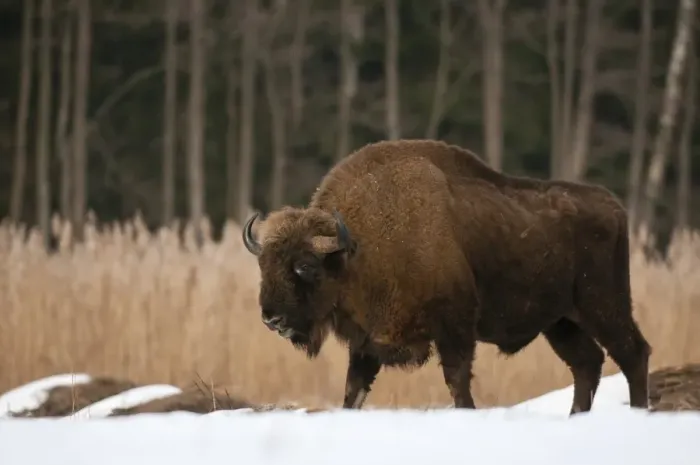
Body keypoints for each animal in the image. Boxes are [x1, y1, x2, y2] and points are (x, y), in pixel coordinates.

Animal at [241, 139, 651, 414]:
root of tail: (615, 206)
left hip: (603, 305)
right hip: (561, 322)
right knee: (587, 363)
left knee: (632, 353)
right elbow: (353, 390)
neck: (359, 246)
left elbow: (457, 381)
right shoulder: (367, 343)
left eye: (305, 266)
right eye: (264, 266)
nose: (271, 318)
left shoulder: (455, 327)